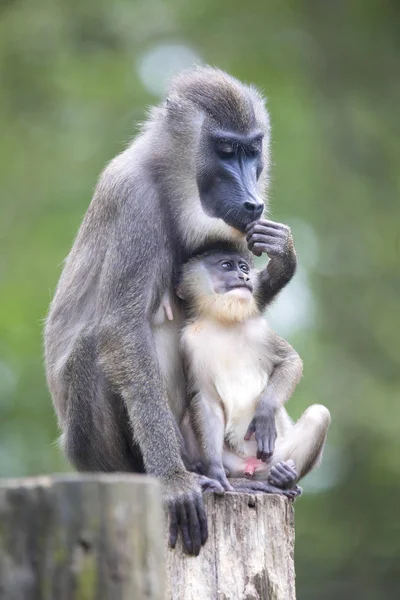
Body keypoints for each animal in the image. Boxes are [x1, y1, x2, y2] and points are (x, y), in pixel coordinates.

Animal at [45, 64, 298, 552]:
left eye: (252, 150)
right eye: (225, 150)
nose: (252, 199)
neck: (171, 180)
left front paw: (284, 255)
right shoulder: (133, 199)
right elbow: (122, 329)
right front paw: (173, 482)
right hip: (91, 449)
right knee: (95, 347)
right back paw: (174, 474)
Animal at [177, 239, 328, 496]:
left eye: (245, 267)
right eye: (227, 266)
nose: (245, 277)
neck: (222, 321)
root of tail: (249, 466)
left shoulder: (259, 329)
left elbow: (291, 361)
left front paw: (265, 412)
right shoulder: (189, 343)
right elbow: (205, 398)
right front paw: (216, 474)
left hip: (274, 455)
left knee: (320, 415)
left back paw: (282, 479)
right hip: (232, 458)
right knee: (189, 416)